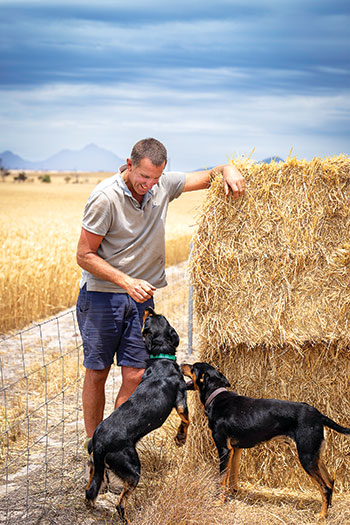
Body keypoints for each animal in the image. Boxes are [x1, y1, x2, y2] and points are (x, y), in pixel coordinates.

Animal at [86, 308, 190, 520]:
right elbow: (186, 420)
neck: (161, 357)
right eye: (152, 318)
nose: (148, 309)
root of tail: (98, 442)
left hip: (97, 463)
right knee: (120, 503)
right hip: (132, 469)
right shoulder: (180, 400)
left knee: (90, 488)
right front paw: (180, 439)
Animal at [182, 360, 350, 516]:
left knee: (325, 487)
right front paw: (232, 494)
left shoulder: (224, 449)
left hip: (307, 456)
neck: (216, 397)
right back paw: (328, 509)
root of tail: (318, 415)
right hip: (315, 455)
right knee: (330, 482)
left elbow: (222, 479)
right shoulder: (236, 450)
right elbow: (232, 477)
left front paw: (219, 502)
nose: (181, 364)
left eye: (193, 367)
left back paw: (321, 516)